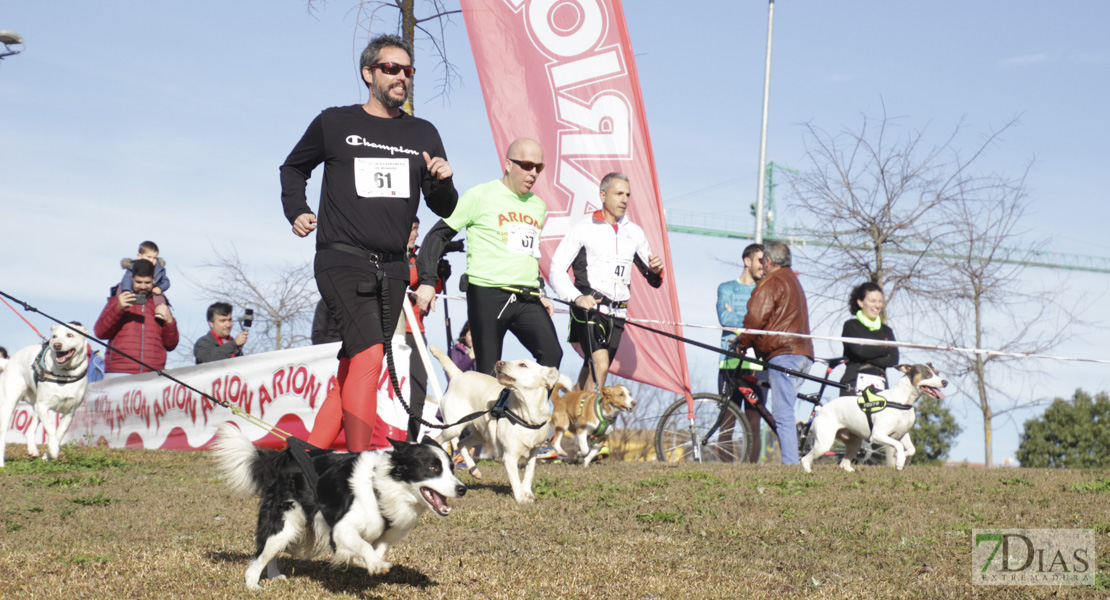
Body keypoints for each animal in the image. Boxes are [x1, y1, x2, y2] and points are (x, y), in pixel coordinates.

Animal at [0, 323, 90, 468]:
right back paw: (2, 464)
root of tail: (9, 361)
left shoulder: (69, 413)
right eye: (54, 336)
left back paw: (33, 451)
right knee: (2, 434)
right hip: (10, 405)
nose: (57, 345)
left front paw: (49, 454)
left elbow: (59, 434)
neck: (64, 374)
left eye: (70, 335)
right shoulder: (43, 406)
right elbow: (51, 429)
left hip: (36, 407)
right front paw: (53, 450)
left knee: (29, 430)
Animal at [428, 343, 559, 503]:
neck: (527, 415)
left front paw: (528, 492)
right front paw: (521, 497)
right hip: (454, 427)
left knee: (461, 443)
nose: (499, 362)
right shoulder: (509, 456)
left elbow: (530, 471)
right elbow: (515, 479)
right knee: (437, 439)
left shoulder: (534, 451)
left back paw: (475, 471)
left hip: (481, 433)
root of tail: (459, 374)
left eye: (523, 365)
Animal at [803, 359, 950, 472]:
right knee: (805, 458)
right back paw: (808, 471)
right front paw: (899, 462)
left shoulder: (903, 433)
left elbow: (911, 449)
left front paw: (900, 457)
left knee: (844, 464)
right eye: (927, 373)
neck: (901, 401)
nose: (945, 382)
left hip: (854, 444)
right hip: (824, 444)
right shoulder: (878, 435)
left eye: (937, 373)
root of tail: (821, 409)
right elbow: (898, 445)